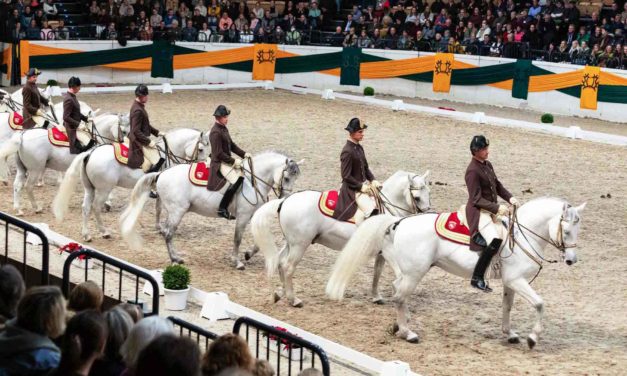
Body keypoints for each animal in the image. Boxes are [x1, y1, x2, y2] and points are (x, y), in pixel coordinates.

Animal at [0, 114, 129, 214]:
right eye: (123, 131)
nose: (122, 144)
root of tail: (23, 134)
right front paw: (108, 202)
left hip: (22, 168)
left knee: (17, 185)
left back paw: (18, 209)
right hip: (34, 169)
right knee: (28, 186)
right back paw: (37, 208)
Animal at [51, 128, 209, 242]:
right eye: (201, 149)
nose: (205, 167)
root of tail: (90, 153)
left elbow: (158, 209)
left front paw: (158, 227)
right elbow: (159, 209)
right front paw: (160, 227)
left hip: (89, 188)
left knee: (86, 208)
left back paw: (86, 235)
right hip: (104, 189)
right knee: (96, 207)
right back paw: (104, 232)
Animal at [120, 151, 304, 266]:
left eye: (295, 178)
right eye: (286, 178)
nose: (285, 198)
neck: (253, 181)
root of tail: (161, 174)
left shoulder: (250, 216)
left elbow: (257, 243)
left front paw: (247, 254)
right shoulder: (243, 216)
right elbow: (237, 238)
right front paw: (237, 262)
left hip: (173, 210)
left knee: (166, 230)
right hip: (178, 210)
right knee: (169, 234)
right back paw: (176, 259)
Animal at [250, 170, 432, 308]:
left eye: (428, 194)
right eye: (417, 197)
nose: (427, 214)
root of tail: (285, 200)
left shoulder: (380, 253)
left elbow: (377, 273)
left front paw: (376, 296)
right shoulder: (388, 251)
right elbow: (397, 272)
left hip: (291, 243)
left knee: (280, 262)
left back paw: (280, 293)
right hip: (300, 245)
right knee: (288, 267)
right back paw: (294, 300)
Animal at [326, 198, 588, 348]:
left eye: (578, 229)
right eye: (566, 231)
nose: (571, 260)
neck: (522, 235)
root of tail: (400, 221)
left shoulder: (510, 282)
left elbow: (507, 307)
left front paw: (510, 334)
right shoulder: (517, 280)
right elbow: (540, 304)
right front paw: (533, 339)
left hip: (408, 271)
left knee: (396, 290)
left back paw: (398, 326)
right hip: (415, 272)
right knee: (399, 296)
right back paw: (408, 333)